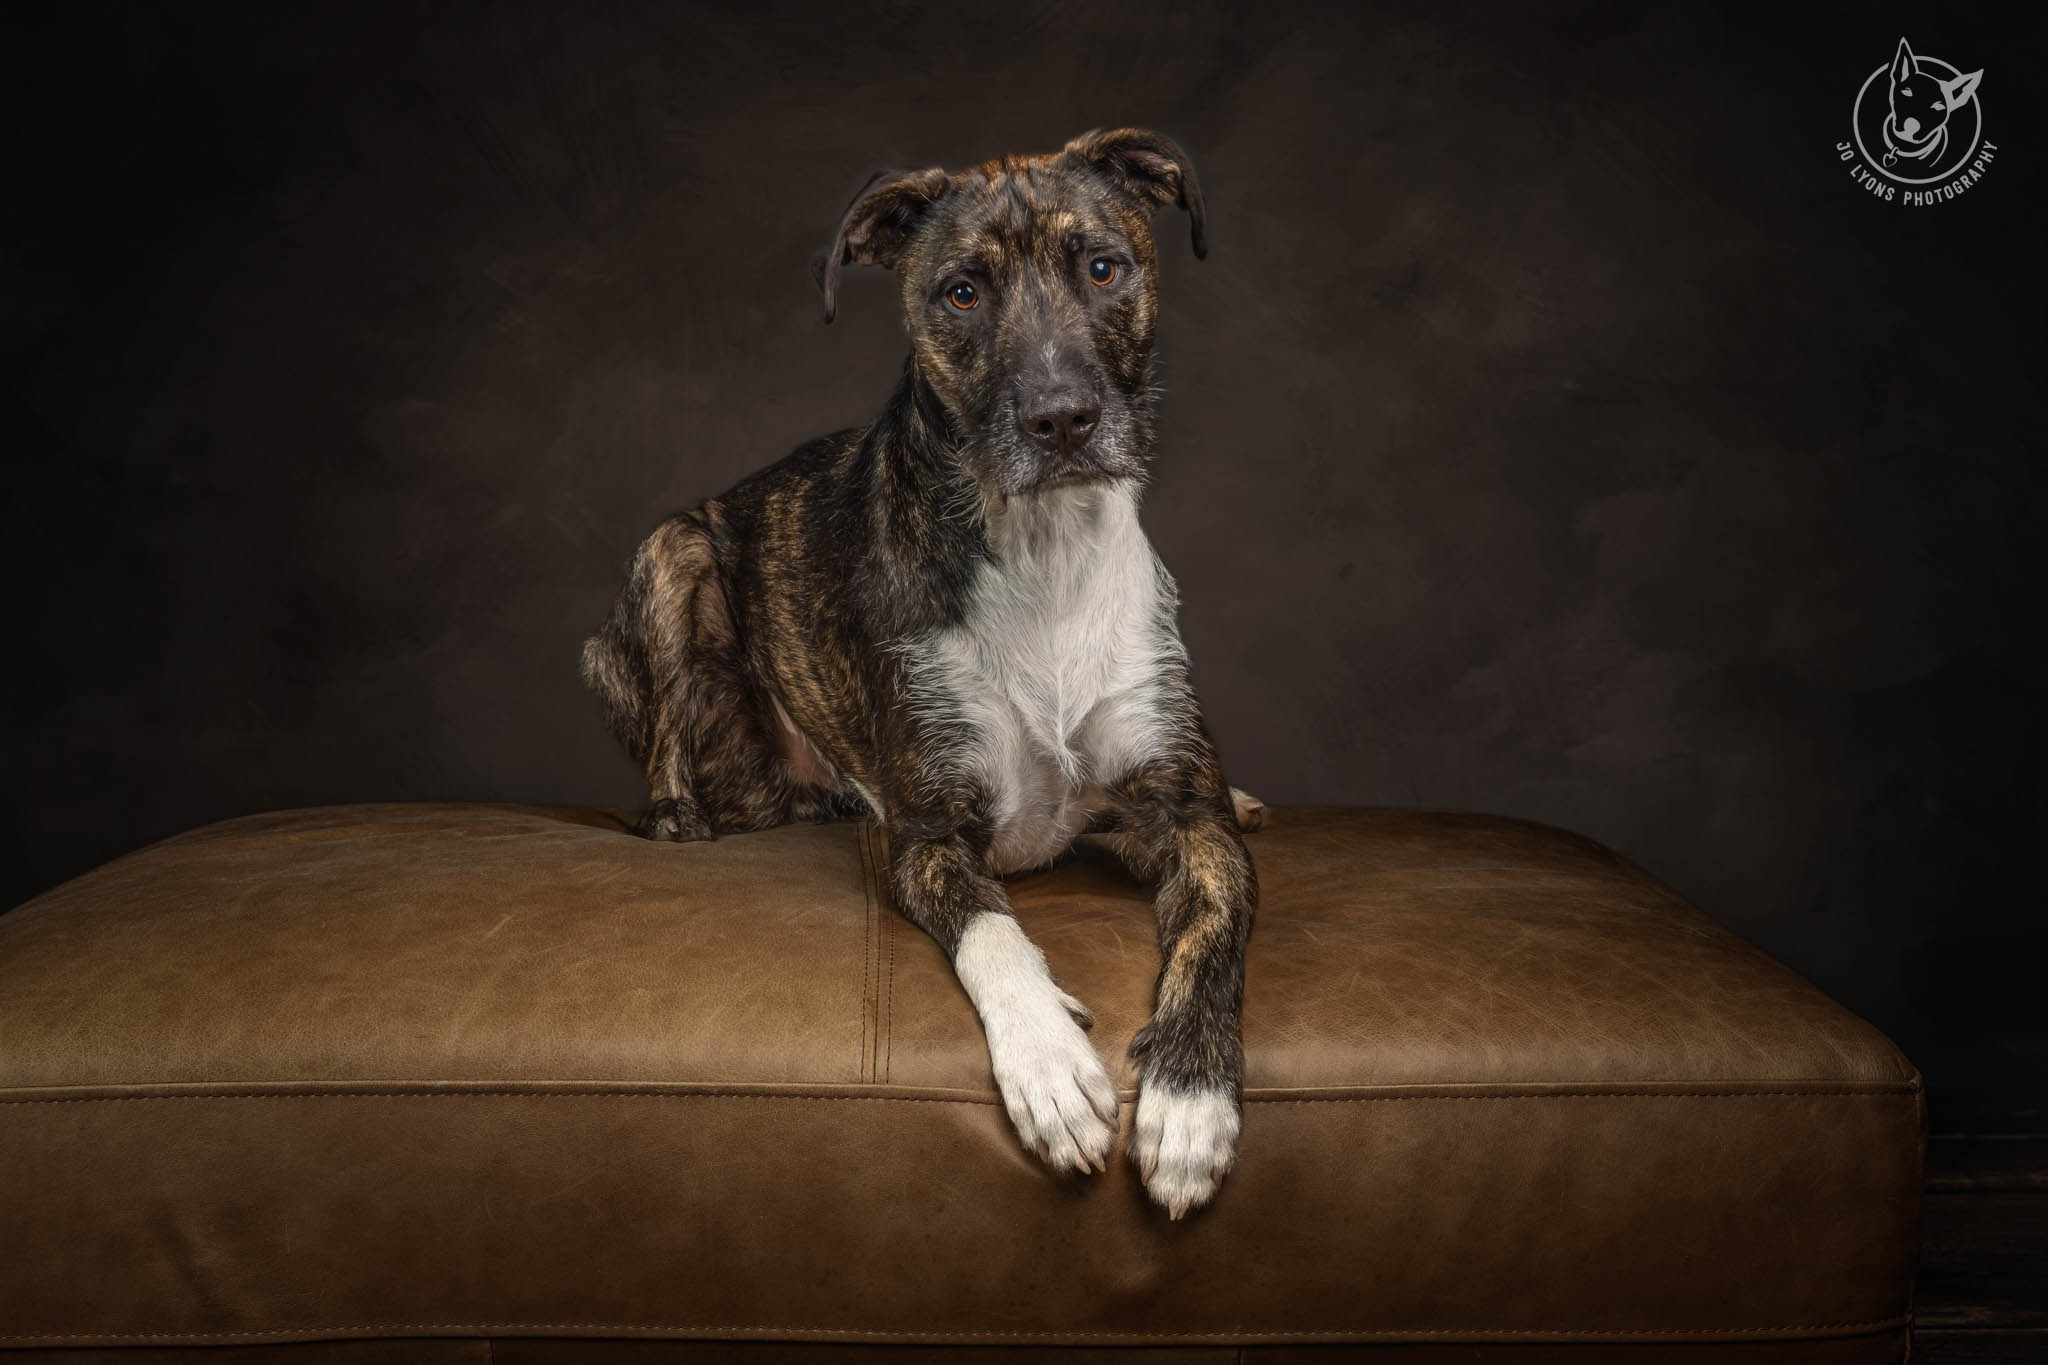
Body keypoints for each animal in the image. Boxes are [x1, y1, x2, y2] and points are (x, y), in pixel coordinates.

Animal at [585, 127, 1261, 1219]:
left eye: (1102, 267)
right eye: (961, 292)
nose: (1061, 419)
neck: (1044, 552)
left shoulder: (1185, 817)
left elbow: (1213, 931)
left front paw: (1191, 1101)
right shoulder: (930, 834)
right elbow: (993, 930)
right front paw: (1048, 1064)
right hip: (671, 554)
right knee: (677, 762)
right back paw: (682, 820)